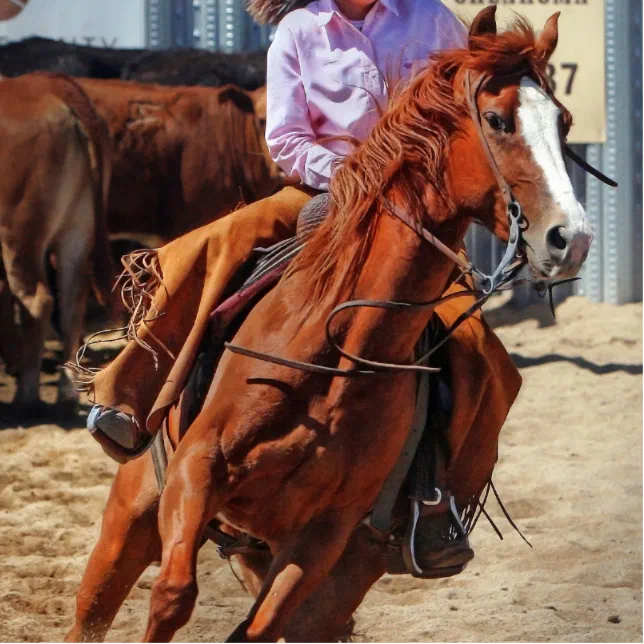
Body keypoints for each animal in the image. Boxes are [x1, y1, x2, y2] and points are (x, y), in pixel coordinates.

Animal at [0, 71, 112, 412]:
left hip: (19, 232)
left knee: (39, 300)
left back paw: (26, 395)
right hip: (78, 226)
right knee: (72, 299)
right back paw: (67, 389)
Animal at [66, 7, 592, 640]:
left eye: (563, 122)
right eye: (497, 120)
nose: (571, 239)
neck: (333, 353)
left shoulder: (325, 536)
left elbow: (258, 627)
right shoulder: (196, 471)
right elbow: (173, 594)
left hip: (332, 570)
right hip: (130, 520)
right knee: (93, 610)